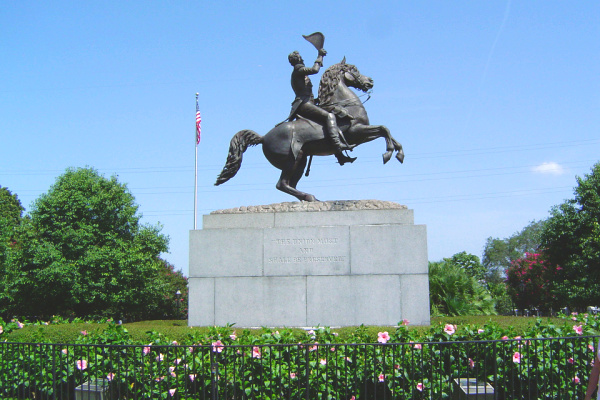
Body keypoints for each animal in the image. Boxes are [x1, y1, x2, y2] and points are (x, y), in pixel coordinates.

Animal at [213, 57, 406, 202]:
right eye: (355, 70)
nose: (370, 81)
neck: (346, 105)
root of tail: (263, 137)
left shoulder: (361, 133)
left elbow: (386, 131)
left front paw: (399, 152)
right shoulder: (356, 133)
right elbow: (383, 129)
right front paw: (388, 153)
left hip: (301, 161)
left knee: (289, 184)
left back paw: (309, 198)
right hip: (293, 159)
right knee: (282, 184)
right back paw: (310, 197)